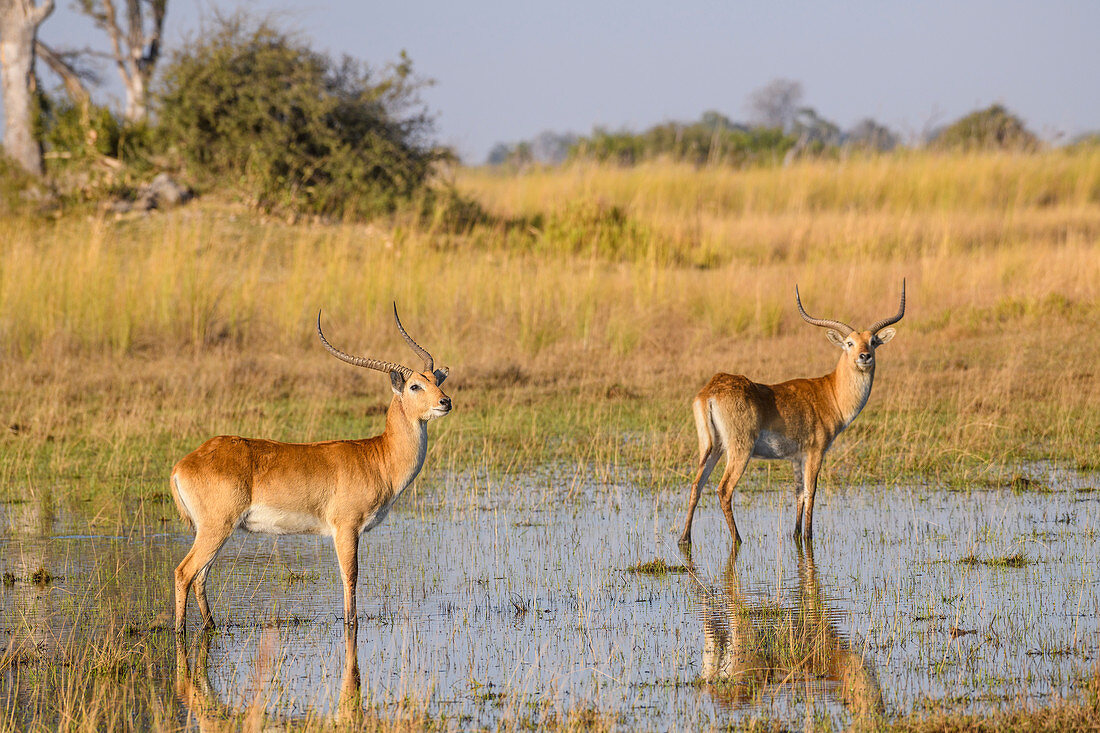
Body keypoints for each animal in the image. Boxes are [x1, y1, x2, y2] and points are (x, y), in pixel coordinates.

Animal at [168, 305, 451, 629]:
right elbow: (350, 577)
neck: (378, 457)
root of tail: (184, 463)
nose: (446, 401)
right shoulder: (346, 528)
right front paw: (350, 622)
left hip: (215, 531)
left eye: (436, 381)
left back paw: (211, 626)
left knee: (200, 576)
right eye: (415, 385)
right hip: (217, 527)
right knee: (184, 572)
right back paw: (180, 632)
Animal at [682, 281, 906, 545]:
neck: (830, 393)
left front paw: (797, 533)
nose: (865, 356)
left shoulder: (796, 457)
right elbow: (811, 491)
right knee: (724, 489)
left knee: (697, 485)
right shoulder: (816, 452)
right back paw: (738, 538)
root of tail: (711, 390)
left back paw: (684, 539)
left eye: (872, 341)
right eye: (849, 343)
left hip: (712, 446)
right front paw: (808, 535)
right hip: (740, 449)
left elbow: (799, 492)